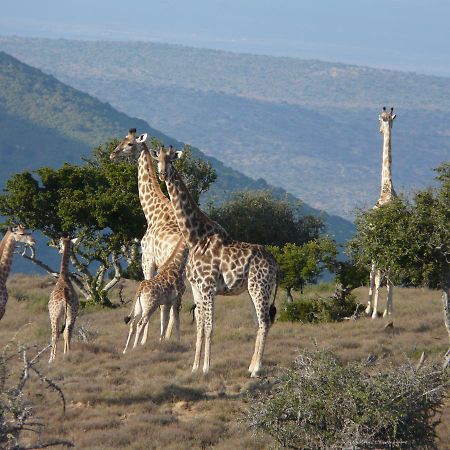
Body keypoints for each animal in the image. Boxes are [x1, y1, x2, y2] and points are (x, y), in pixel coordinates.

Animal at [109, 128, 185, 346]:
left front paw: (143, 341)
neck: (152, 212)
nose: (112, 154)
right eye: (121, 140)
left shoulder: (148, 261)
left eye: (129, 144)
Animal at [153, 146, 280, 378]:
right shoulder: (196, 288)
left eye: (172, 160)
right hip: (253, 289)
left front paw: (206, 368)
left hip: (260, 287)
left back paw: (256, 369)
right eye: (158, 159)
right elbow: (200, 326)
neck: (195, 237)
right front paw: (195, 367)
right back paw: (251, 366)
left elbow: (210, 326)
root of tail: (275, 264)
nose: (163, 174)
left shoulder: (208, 287)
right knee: (259, 323)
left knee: (265, 322)